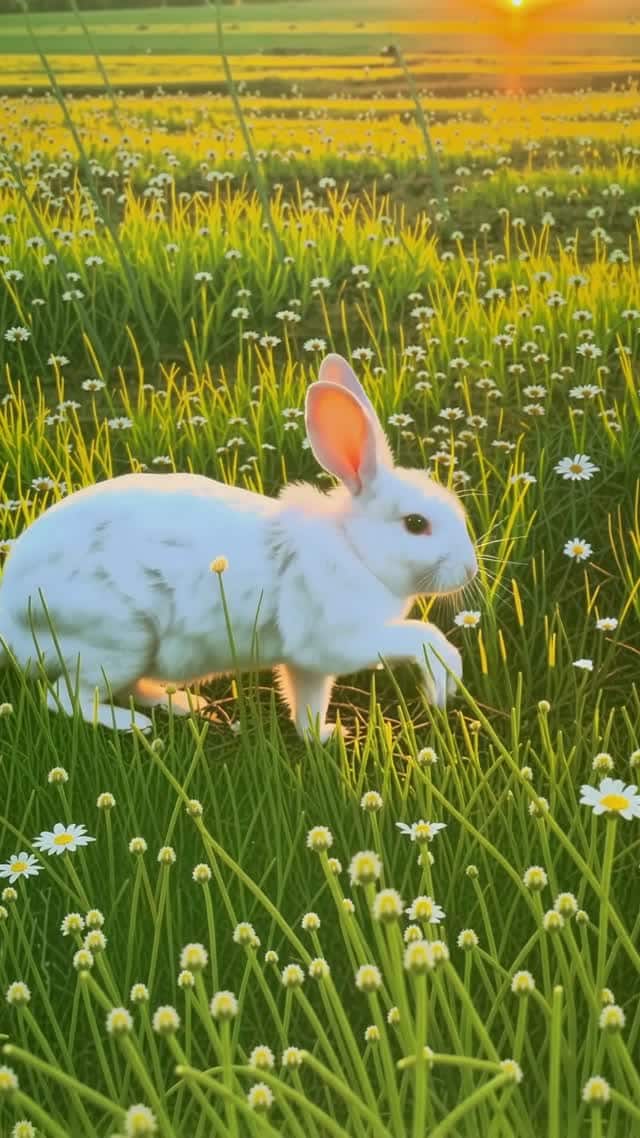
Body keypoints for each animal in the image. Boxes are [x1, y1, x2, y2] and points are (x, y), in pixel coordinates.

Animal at [0, 354, 478, 738]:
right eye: (416, 524)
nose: (470, 570)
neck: (354, 549)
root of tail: (11, 623)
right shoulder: (338, 638)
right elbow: (421, 636)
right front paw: (444, 680)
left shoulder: (308, 664)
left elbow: (307, 703)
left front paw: (325, 736)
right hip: (118, 641)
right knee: (66, 697)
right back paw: (132, 724)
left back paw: (184, 705)